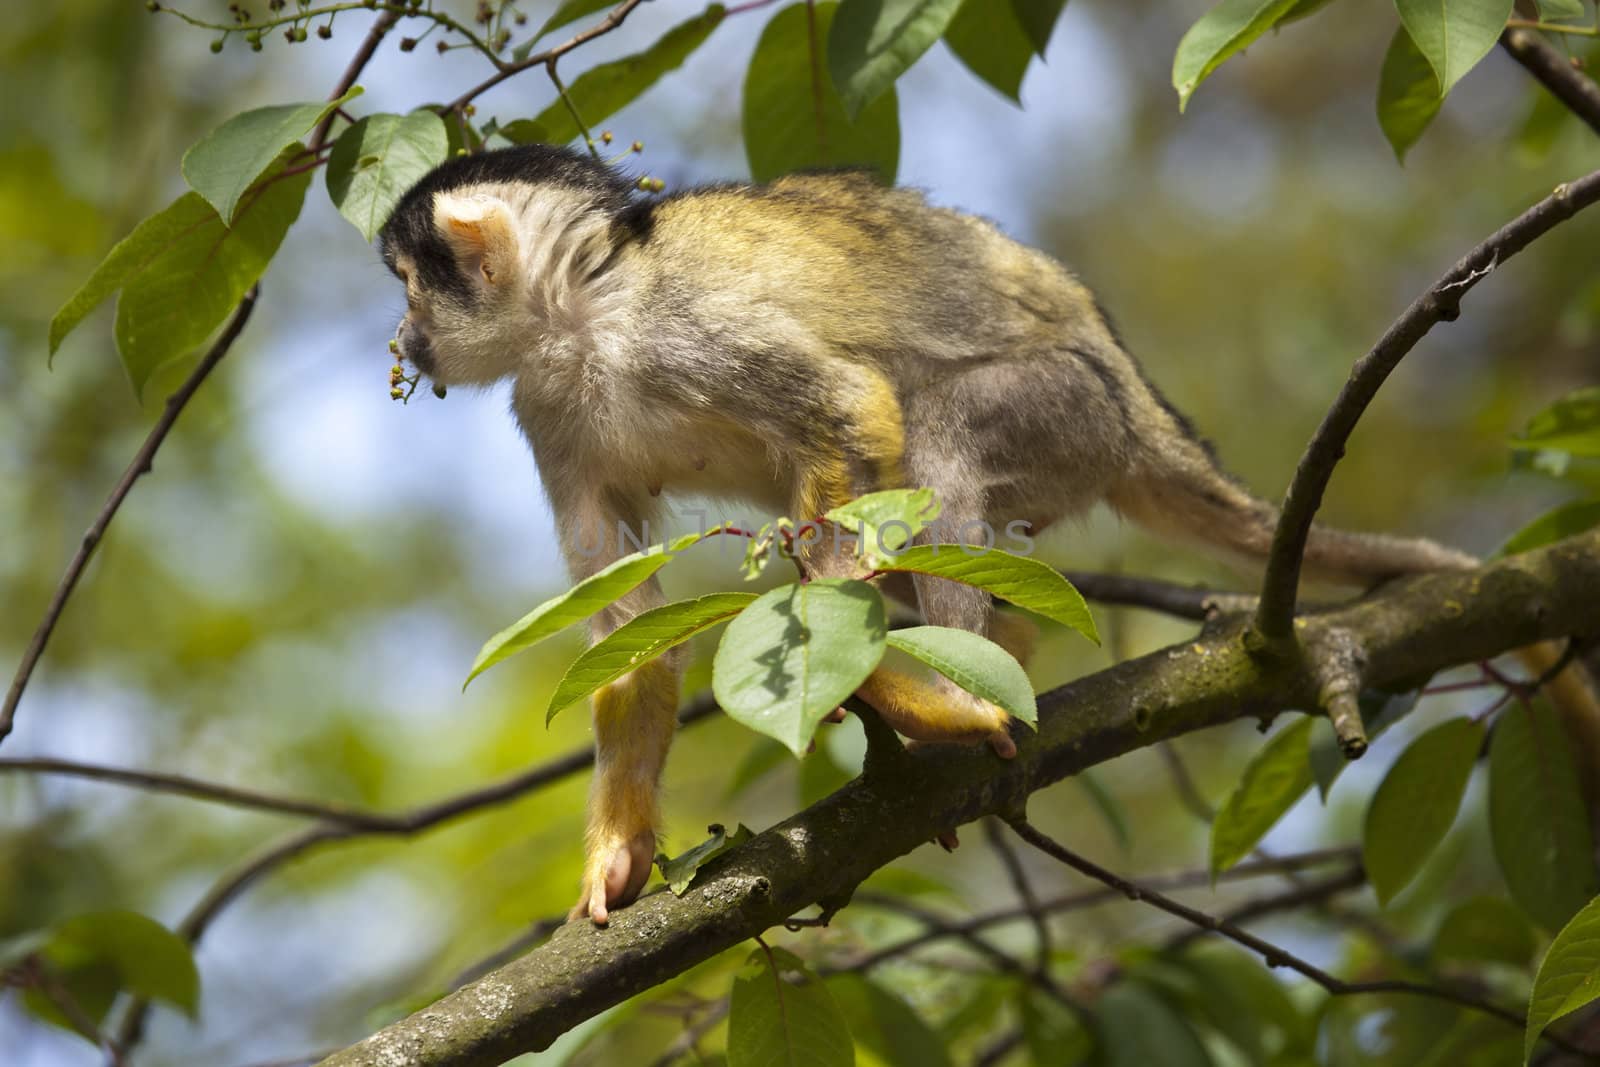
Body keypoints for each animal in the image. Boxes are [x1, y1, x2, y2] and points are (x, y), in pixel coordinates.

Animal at [374, 143, 1587, 927]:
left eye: (412, 285)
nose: (407, 337)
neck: (584, 323)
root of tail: (1139, 403)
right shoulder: (550, 409)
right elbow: (629, 640)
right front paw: (619, 849)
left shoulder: (681, 327)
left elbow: (851, 408)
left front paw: (879, 680)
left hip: (1071, 411)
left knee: (942, 438)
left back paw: (954, 697)